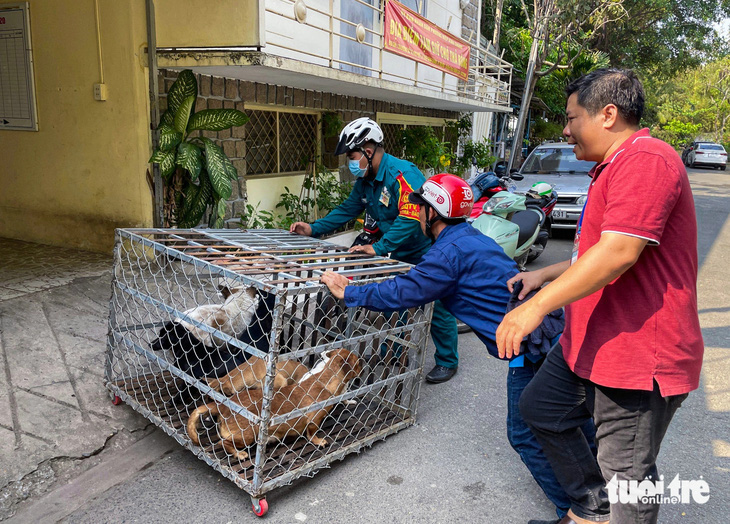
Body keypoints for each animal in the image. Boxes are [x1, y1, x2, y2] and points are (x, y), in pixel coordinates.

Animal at [185, 350, 362, 460]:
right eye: (358, 363)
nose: (364, 363)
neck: (325, 378)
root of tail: (222, 406)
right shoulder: (314, 420)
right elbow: (312, 432)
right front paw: (318, 440)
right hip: (249, 434)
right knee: (223, 443)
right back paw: (239, 454)